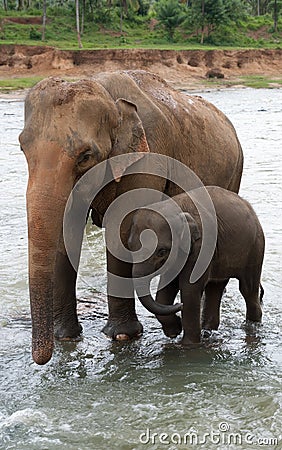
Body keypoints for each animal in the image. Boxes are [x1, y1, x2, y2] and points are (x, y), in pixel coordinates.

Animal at [18, 71, 242, 366]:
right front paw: (65, 336)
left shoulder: (146, 158)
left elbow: (121, 228)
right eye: (22, 148)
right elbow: (67, 232)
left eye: (86, 156)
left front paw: (123, 336)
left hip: (235, 173)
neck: (106, 93)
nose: (41, 359)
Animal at [128, 185, 264, 344]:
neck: (176, 207)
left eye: (161, 252)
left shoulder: (203, 244)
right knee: (215, 287)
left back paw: (252, 325)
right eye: (129, 246)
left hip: (256, 247)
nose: (178, 306)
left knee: (247, 289)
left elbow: (189, 289)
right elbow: (167, 287)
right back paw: (208, 331)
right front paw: (174, 331)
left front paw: (188, 345)